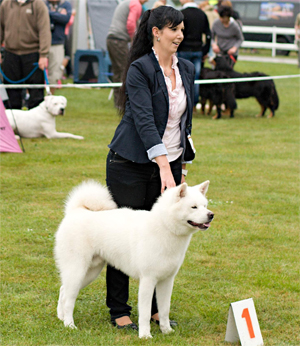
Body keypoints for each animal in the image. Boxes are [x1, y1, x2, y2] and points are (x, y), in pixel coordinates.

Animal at [54, 181, 213, 338]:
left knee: (63, 290)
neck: (165, 227)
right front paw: (145, 335)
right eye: (193, 207)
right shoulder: (147, 280)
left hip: (90, 272)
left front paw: (166, 330)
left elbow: (164, 310)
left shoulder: (167, 281)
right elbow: (145, 313)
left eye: (205, 205)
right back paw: (70, 325)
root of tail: (76, 211)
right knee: (69, 299)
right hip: (78, 270)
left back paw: (61, 318)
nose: (211, 215)